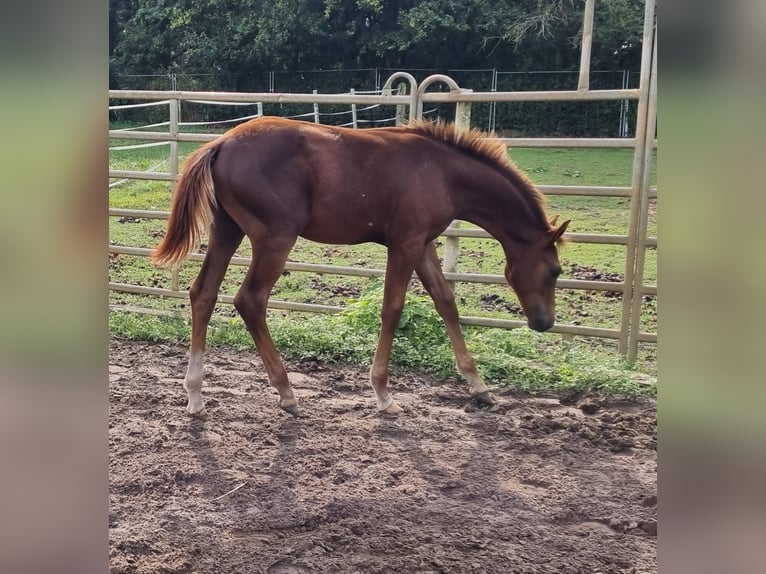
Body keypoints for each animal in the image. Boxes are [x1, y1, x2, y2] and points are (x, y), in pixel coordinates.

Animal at [152, 118, 568, 418]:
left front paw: (479, 387)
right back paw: (287, 393)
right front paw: (384, 394)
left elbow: (446, 302)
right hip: (275, 238)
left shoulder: (423, 244)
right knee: (250, 300)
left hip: (227, 230)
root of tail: (220, 144)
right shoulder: (405, 243)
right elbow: (392, 308)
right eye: (554, 271)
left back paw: (195, 396)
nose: (543, 322)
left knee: (203, 293)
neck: (441, 170)